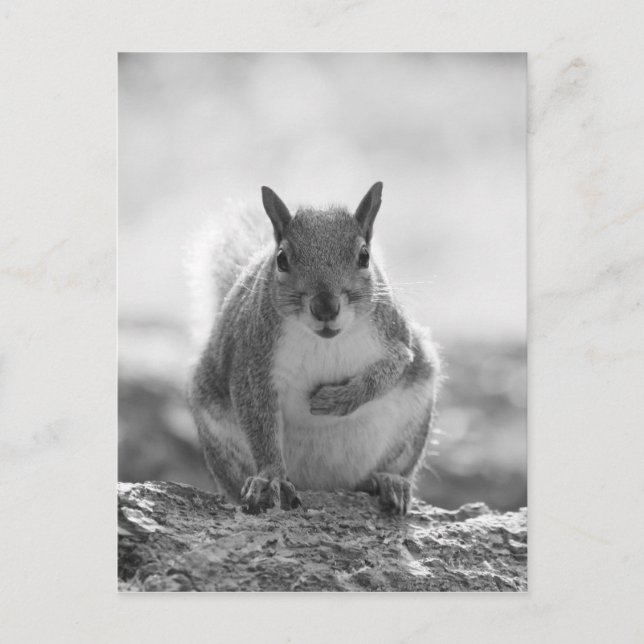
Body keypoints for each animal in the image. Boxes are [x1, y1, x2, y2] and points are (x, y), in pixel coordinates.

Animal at [189, 182, 440, 515]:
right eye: (281, 259)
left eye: (364, 256)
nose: (325, 307)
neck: (325, 341)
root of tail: (325, 485)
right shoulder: (253, 360)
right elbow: (259, 422)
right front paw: (270, 478)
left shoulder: (396, 338)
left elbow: (389, 370)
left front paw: (336, 400)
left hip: (412, 424)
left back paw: (388, 480)